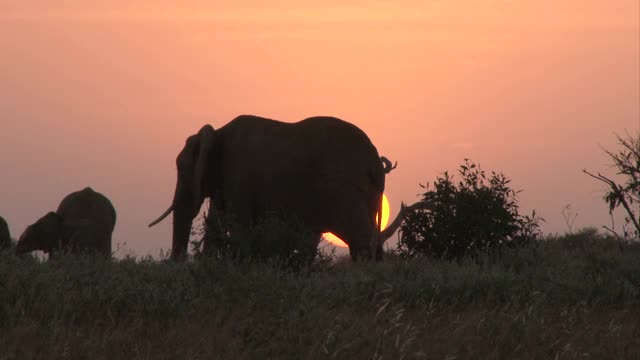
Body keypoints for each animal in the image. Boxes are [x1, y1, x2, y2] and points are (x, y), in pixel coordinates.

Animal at [150, 115, 388, 262]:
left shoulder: (238, 175)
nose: (175, 262)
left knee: (359, 237)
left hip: (343, 190)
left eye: (182, 170)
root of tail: (375, 161)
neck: (218, 133)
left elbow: (239, 225)